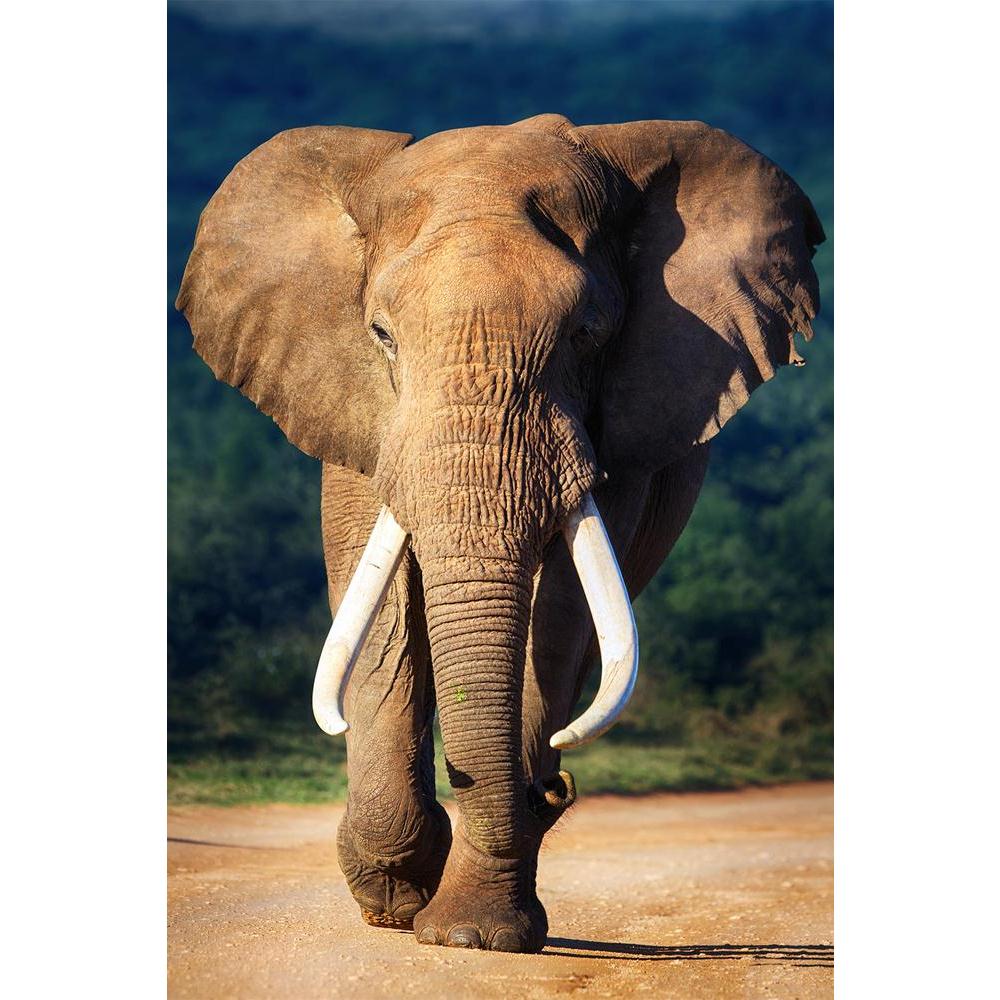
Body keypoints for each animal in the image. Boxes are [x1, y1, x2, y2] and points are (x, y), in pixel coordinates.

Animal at [176, 113, 824, 954]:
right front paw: (399, 896)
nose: (554, 787)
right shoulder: (353, 405)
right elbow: (380, 601)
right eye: (381, 334)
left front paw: (470, 935)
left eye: (586, 334)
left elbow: (561, 615)